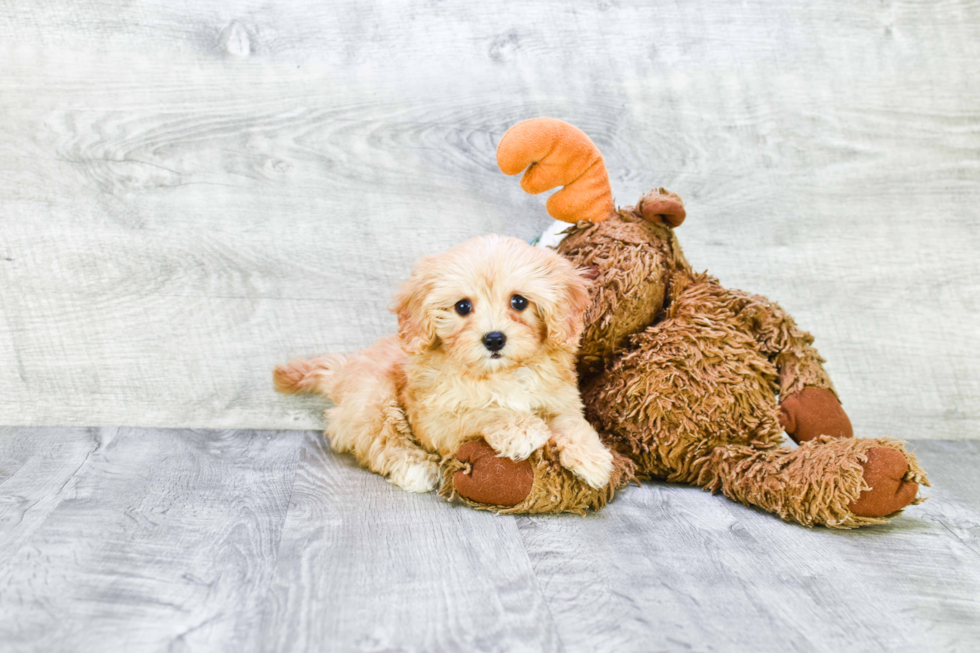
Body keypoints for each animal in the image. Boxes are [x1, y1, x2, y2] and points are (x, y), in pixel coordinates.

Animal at [274, 234, 612, 494]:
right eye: (462, 307)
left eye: (519, 302)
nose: (494, 339)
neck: (498, 374)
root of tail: (344, 370)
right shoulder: (435, 419)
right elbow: (482, 410)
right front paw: (521, 428)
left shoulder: (560, 398)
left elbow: (571, 422)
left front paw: (592, 457)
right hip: (374, 399)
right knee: (381, 440)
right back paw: (415, 468)